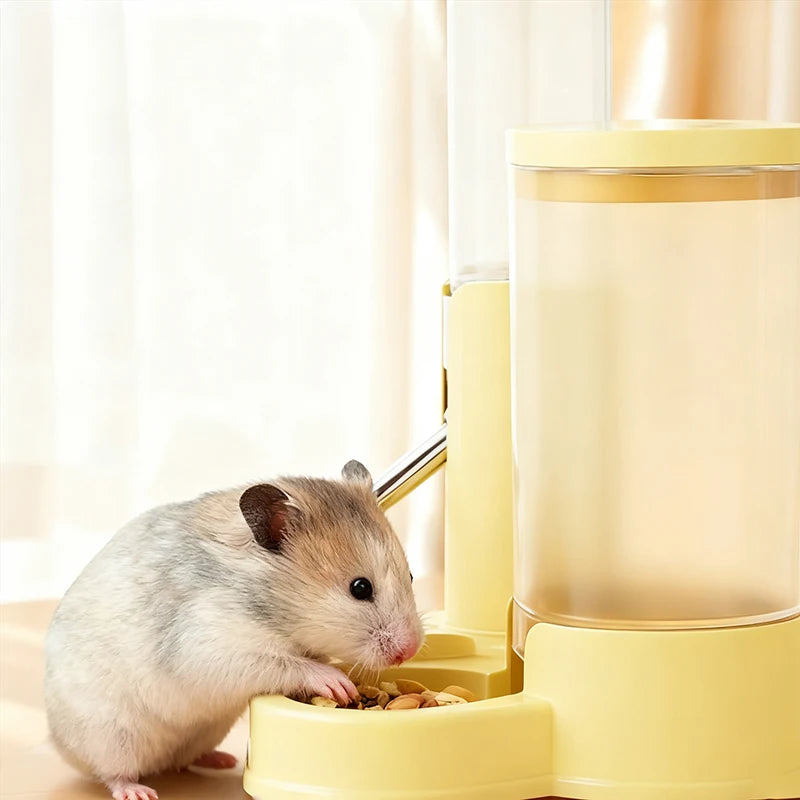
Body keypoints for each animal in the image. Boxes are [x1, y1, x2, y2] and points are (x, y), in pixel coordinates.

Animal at [44, 460, 423, 800]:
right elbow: (287, 664)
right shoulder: (211, 645)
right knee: (113, 772)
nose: (409, 651)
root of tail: (58, 743)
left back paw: (222, 760)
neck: (275, 614)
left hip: (205, 731)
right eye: (360, 588)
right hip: (112, 736)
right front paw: (339, 684)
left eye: (411, 575)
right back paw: (138, 792)